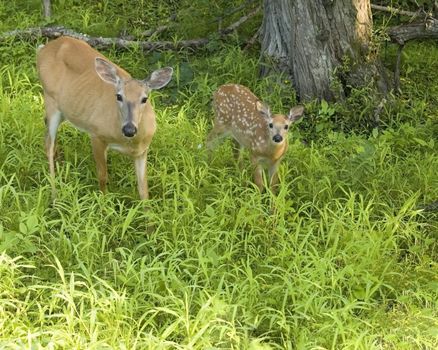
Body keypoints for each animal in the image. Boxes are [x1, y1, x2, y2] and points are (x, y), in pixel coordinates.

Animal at [36, 37, 173, 201]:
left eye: (144, 99)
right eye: (119, 96)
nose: (129, 129)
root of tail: (44, 48)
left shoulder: (143, 150)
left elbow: (143, 189)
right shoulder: (96, 134)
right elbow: (102, 176)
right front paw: (103, 203)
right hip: (50, 100)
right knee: (48, 144)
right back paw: (55, 196)